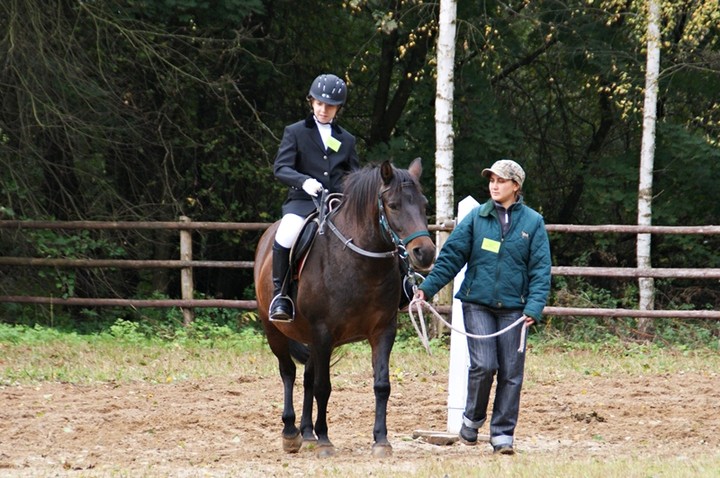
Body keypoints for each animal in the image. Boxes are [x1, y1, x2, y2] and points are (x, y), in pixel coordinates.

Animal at [255, 159, 434, 458]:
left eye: (424, 204)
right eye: (394, 205)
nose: (426, 253)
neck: (359, 262)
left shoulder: (383, 331)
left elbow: (382, 385)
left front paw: (381, 440)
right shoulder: (323, 333)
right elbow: (323, 387)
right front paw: (326, 441)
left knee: (306, 376)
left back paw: (307, 433)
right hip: (275, 331)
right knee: (288, 372)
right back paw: (291, 433)